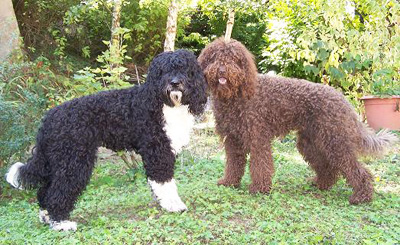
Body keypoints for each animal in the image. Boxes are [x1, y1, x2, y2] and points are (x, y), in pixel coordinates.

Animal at [5, 49, 206, 230]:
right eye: (163, 71)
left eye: (184, 68)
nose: (174, 83)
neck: (164, 103)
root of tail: (49, 117)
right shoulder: (158, 151)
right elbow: (165, 182)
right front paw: (173, 205)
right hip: (74, 161)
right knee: (57, 192)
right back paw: (61, 223)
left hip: (59, 161)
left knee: (45, 191)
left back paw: (47, 217)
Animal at [198, 37, 398, 204]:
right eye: (215, 57)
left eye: (234, 59)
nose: (222, 70)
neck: (235, 96)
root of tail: (342, 99)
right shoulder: (233, 140)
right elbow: (234, 164)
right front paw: (229, 182)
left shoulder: (257, 139)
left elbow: (260, 165)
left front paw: (259, 189)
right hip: (312, 142)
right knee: (328, 167)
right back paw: (321, 184)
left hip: (335, 140)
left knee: (356, 168)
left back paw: (361, 196)